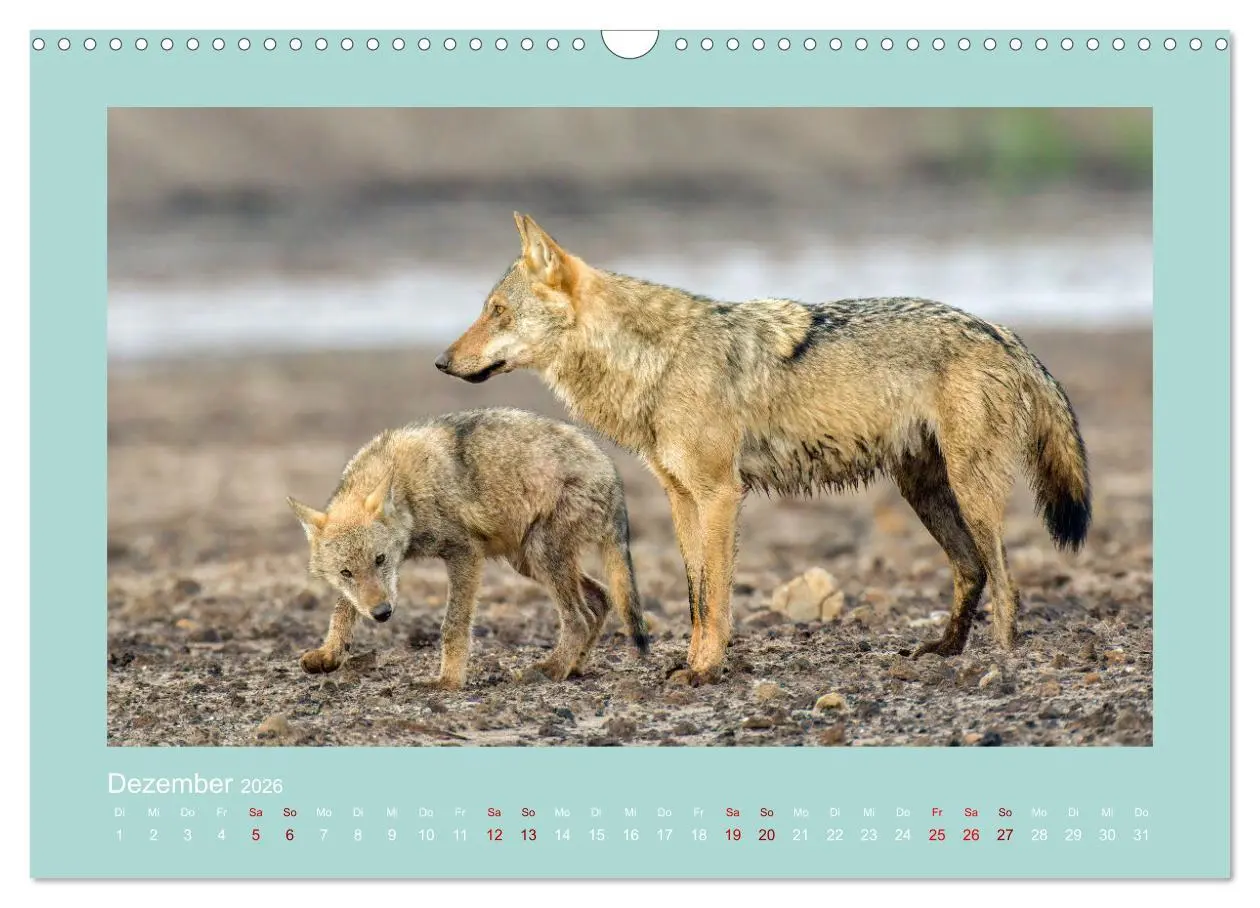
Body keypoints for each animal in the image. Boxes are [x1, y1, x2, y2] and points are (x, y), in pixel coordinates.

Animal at [286, 407, 650, 690]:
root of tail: (611, 473)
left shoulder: (464, 554)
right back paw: (573, 667)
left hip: (540, 556)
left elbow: (454, 625)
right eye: (346, 572)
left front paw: (448, 681)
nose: (383, 614)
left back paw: (550, 670)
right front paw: (329, 654)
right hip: (528, 562)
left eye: (380, 559)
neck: (406, 488)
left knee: (579, 617)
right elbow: (343, 609)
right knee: (600, 600)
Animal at [435, 214, 1091, 684]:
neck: (652, 362)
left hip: (970, 491)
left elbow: (715, 599)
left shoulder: (721, 494)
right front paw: (692, 664)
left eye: (497, 312)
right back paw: (945, 650)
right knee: (972, 569)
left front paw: (707, 670)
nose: (441, 362)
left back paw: (999, 659)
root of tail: (1004, 333)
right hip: (924, 492)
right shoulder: (682, 499)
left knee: (1005, 581)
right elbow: (696, 596)